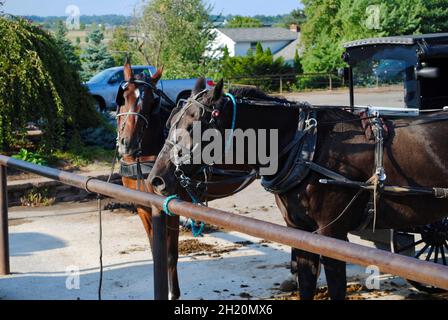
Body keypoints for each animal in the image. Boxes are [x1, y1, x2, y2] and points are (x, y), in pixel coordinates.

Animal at [115, 63, 256, 300]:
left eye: (152, 102)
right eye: (123, 97)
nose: (128, 143)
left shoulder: (170, 207)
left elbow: (170, 254)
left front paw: (174, 293)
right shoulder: (143, 207)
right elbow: (155, 251)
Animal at [150, 77, 448, 300]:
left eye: (194, 127)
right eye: (170, 123)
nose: (156, 179)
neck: (308, 147)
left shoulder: (332, 234)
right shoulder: (301, 232)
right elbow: (305, 284)